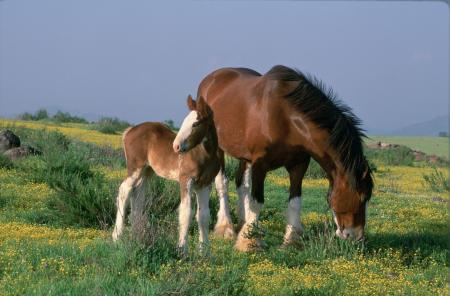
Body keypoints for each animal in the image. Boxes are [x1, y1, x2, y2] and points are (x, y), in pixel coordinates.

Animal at [112, 96, 221, 253]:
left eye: (195, 123)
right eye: (184, 121)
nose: (176, 146)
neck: (205, 154)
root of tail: (130, 130)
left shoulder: (205, 184)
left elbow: (204, 216)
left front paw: (205, 252)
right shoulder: (185, 180)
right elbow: (186, 212)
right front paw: (182, 249)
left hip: (146, 171)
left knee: (138, 194)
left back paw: (137, 236)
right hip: (135, 168)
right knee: (124, 189)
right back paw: (117, 237)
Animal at [197, 65, 372, 250]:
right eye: (362, 197)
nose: (357, 237)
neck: (286, 118)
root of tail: (210, 79)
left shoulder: (298, 165)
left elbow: (295, 201)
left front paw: (291, 239)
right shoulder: (260, 165)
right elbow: (256, 202)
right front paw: (250, 242)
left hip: (244, 156)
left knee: (241, 185)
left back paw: (242, 223)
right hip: (217, 149)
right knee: (222, 183)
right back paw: (225, 228)